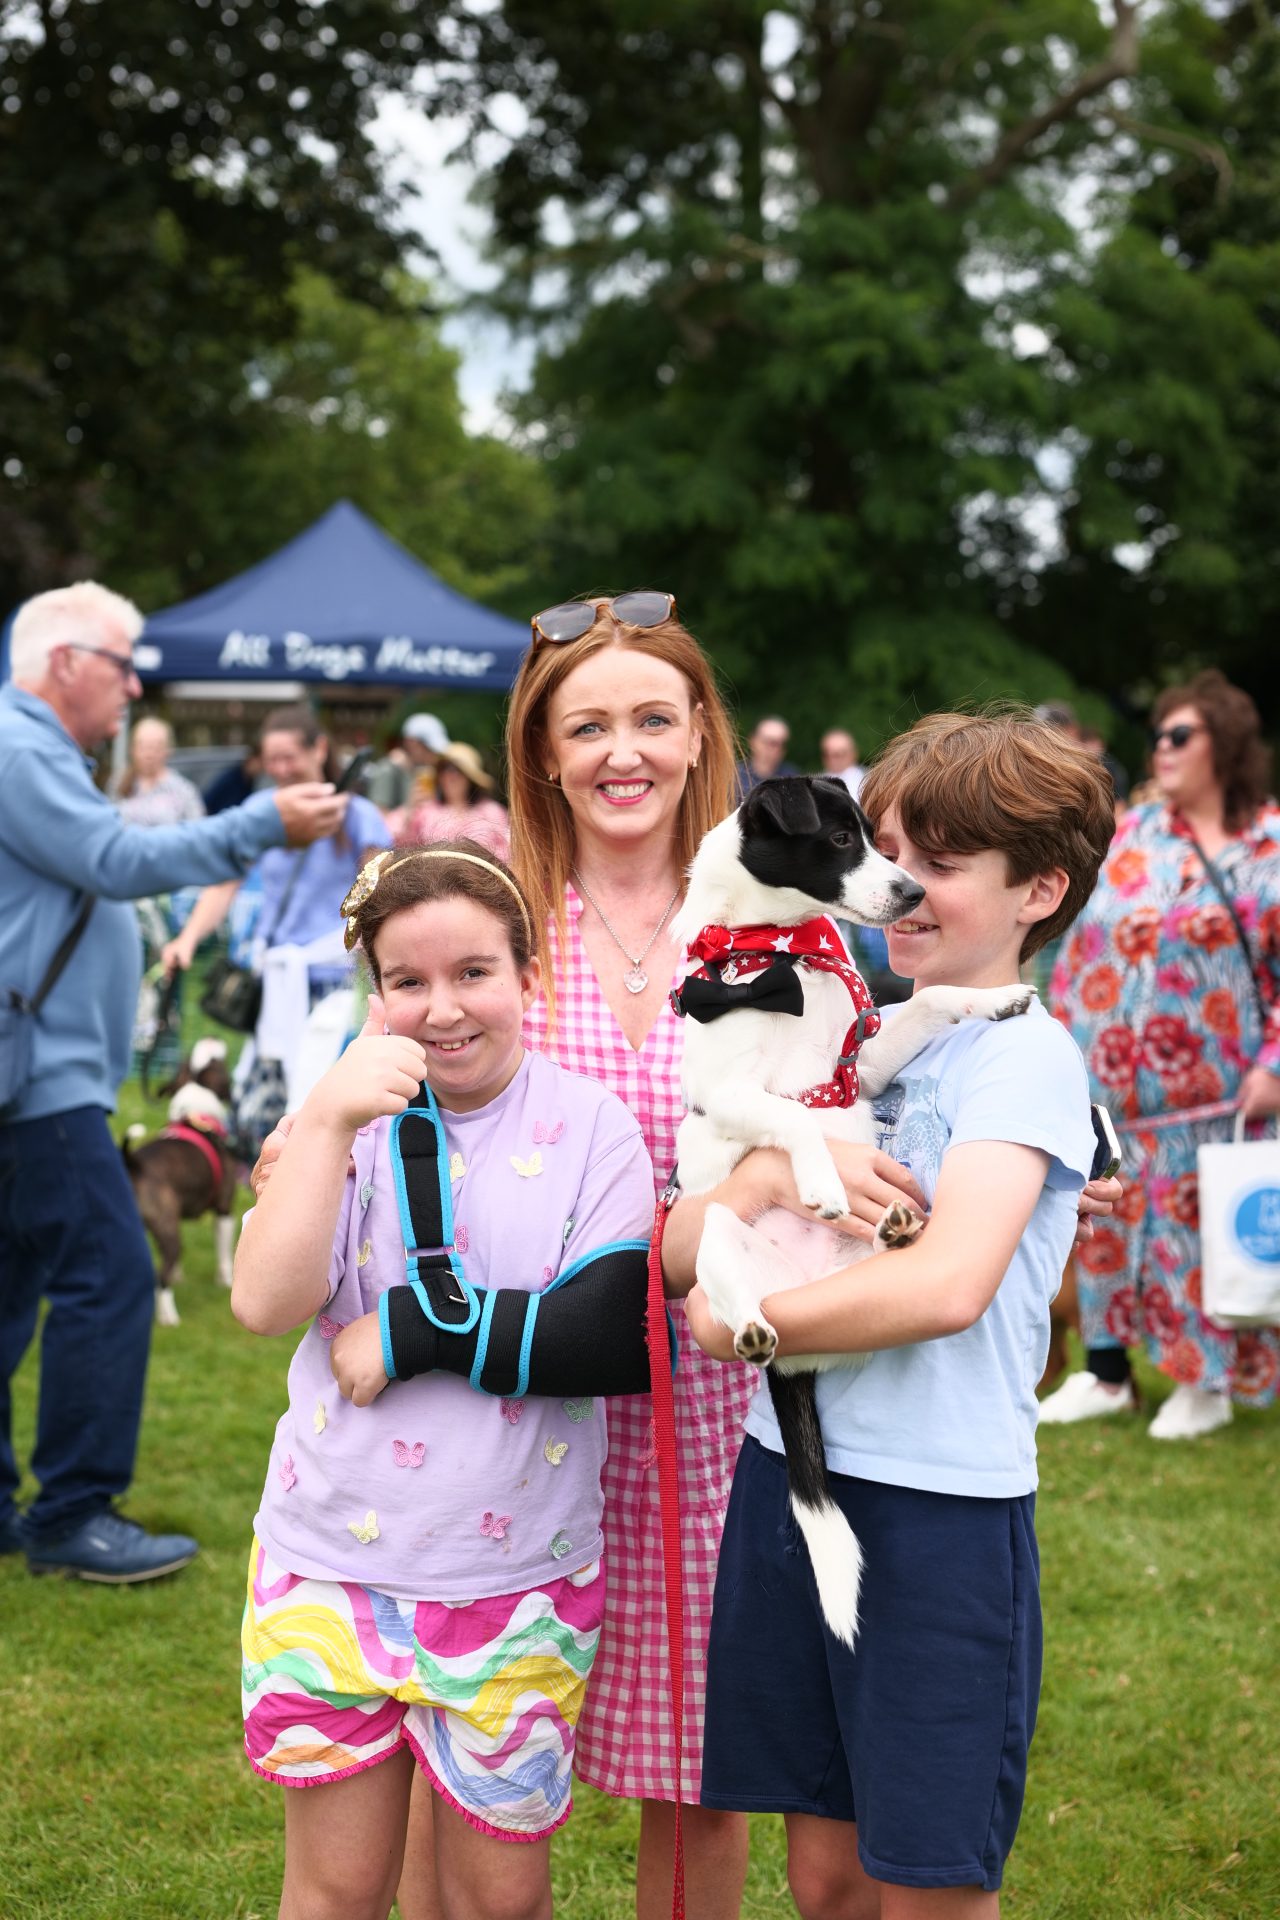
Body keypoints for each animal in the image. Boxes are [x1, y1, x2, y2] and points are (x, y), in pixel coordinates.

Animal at [124, 1039, 240, 1326]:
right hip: (169, 1230)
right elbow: (224, 1251)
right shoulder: (224, 1210)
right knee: (160, 1278)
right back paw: (169, 1317)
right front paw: (226, 1281)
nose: (211, 1038)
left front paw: (180, 1276)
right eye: (218, 1061)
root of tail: (132, 1162)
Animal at [671, 776, 1032, 1644]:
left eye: (876, 839)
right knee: (739, 1302)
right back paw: (754, 1327)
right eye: (838, 840)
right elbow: (797, 1118)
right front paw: (824, 1184)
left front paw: (998, 998)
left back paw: (896, 1227)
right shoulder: (726, 1096)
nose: (912, 893)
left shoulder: (859, 1066)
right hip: (720, 1240)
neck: (779, 951)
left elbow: (933, 1000)